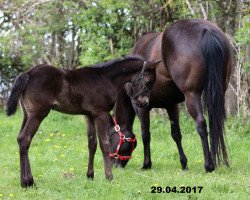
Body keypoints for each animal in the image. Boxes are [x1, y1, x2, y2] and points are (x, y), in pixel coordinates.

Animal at [6, 56, 159, 188]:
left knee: (20, 139)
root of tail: (28, 74)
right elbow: (104, 144)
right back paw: (29, 182)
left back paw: (24, 181)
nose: (144, 103)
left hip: (26, 115)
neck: (107, 78)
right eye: (149, 81)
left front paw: (90, 175)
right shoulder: (100, 113)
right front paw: (109, 177)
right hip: (38, 115)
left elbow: (92, 144)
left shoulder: (89, 116)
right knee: (25, 139)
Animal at [112, 18, 231, 171]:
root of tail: (207, 30)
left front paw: (146, 164)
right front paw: (184, 163)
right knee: (217, 123)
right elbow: (176, 134)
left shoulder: (141, 107)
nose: (115, 165)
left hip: (191, 95)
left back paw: (209, 165)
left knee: (201, 123)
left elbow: (145, 134)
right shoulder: (171, 105)